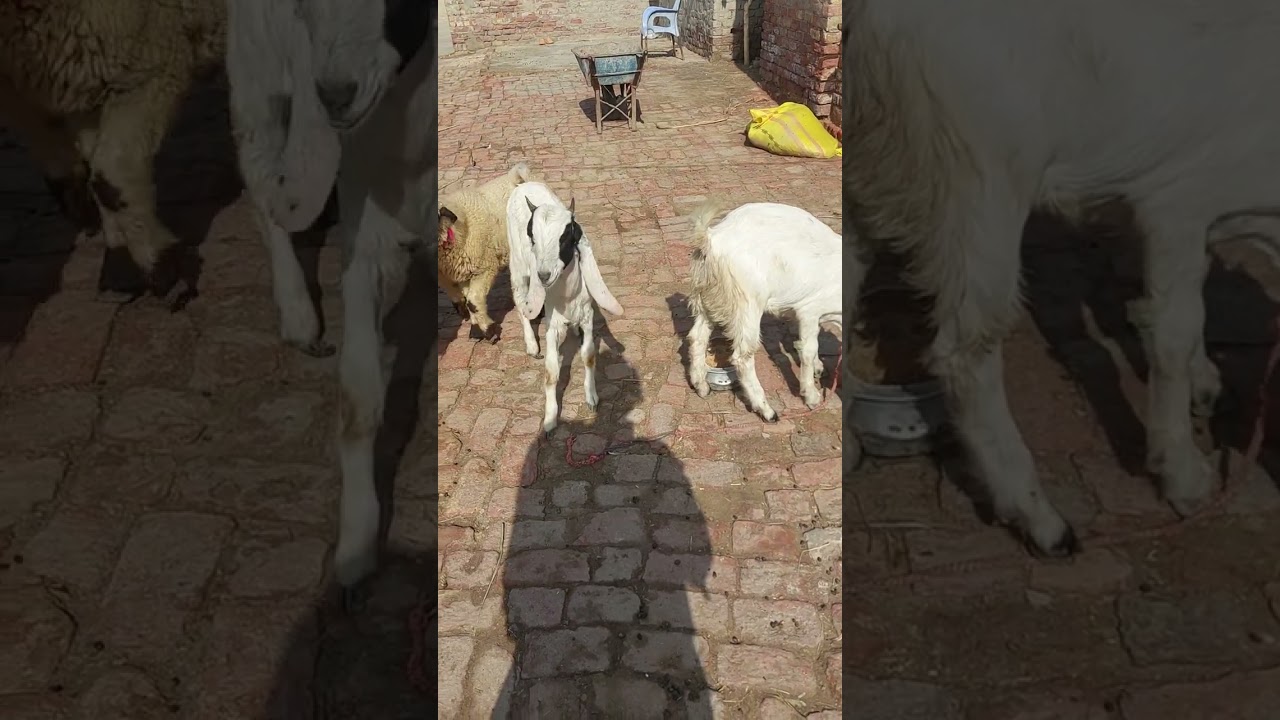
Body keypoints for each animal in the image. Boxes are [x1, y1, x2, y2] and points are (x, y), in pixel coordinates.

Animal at [226, 0, 433, 588]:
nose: (335, 95)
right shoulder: (365, 232)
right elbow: (357, 399)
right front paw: (356, 547)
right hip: (257, 74)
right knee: (261, 179)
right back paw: (298, 314)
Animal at [506, 182, 625, 436]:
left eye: (565, 238)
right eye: (532, 237)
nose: (543, 275)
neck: (566, 295)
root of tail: (523, 183)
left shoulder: (588, 316)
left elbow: (589, 355)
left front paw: (592, 398)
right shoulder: (552, 325)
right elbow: (551, 371)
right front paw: (550, 418)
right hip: (517, 267)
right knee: (520, 301)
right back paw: (531, 344)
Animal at [685, 202, 843, 421]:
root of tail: (711, 238)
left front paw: (818, 367)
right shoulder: (809, 309)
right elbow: (809, 348)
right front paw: (811, 395)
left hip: (711, 295)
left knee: (697, 337)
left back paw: (701, 385)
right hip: (746, 302)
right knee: (742, 355)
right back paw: (766, 410)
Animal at [843, 0, 1280, 556]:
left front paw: (1205, 383)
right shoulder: (1177, 200)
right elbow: (1174, 332)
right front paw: (1183, 474)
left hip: (878, 160)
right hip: (975, 177)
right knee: (966, 350)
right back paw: (1039, 517)